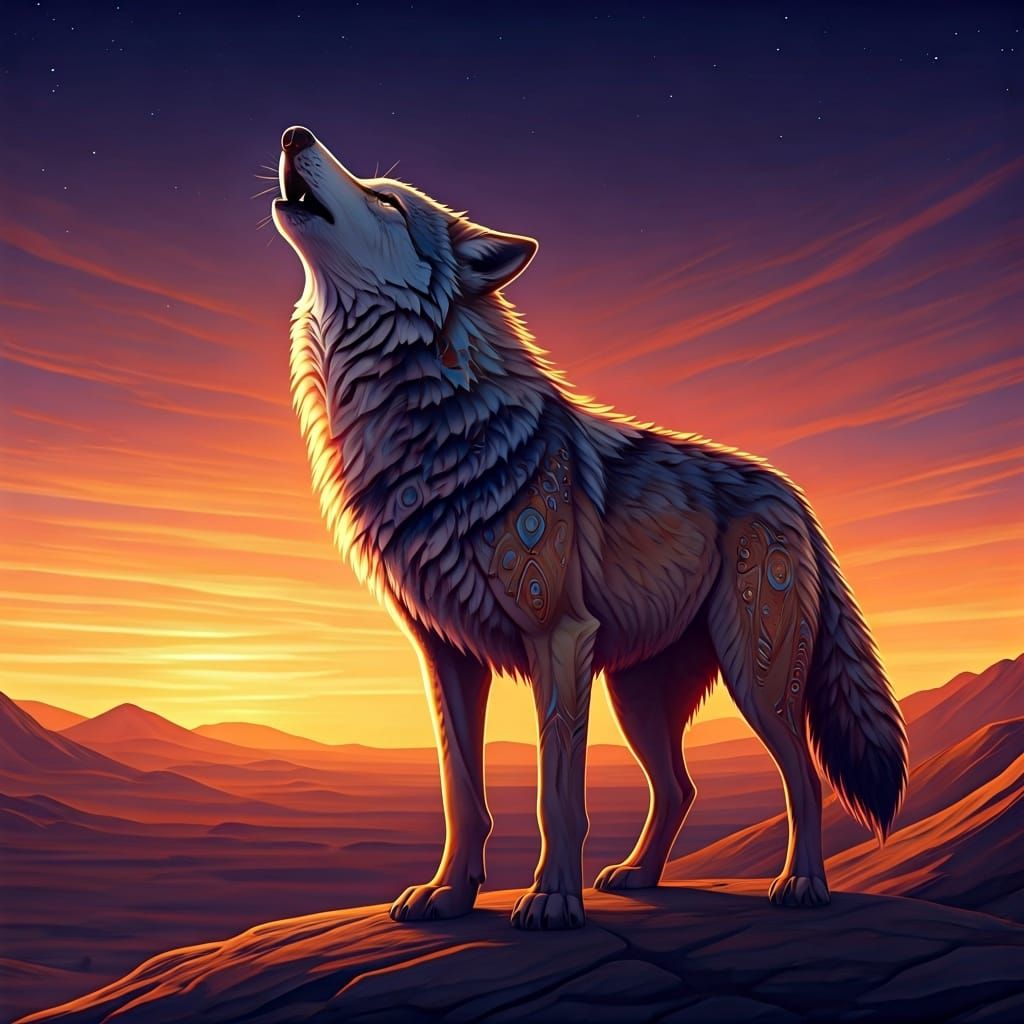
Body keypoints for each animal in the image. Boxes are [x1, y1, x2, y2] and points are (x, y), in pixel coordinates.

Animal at [272, 125, 908, 930]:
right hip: (636, 694)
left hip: (755, 676)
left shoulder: (561, 641)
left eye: (386, 201)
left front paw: (550, 899)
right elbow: (460, 793)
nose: (294, 134)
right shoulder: (445, 656)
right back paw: (639, 875)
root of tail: (793, 495)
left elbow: (556, 796)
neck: (430, 427)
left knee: (803, 779)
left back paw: (802, 885)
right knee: (680, 787)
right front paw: (449, 894)